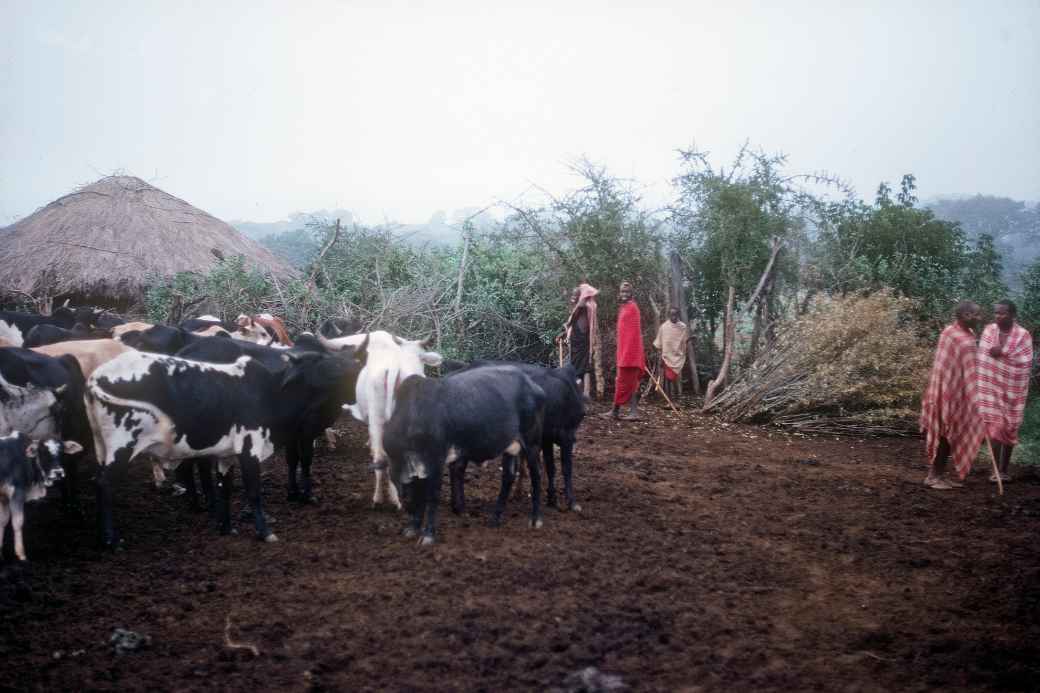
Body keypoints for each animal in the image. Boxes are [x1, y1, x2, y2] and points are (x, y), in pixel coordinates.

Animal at [0, 428, 81, 557]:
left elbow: (2, 522)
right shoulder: (17, 494)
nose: (58, 472)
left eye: (62, 452)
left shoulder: (4, 498)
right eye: (42, 452)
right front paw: (21, 555)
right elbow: (17, 523)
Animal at [85, 337, 370, 541]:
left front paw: (227, 527)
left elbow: (226, 487)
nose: (356, 373)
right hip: (122, 447)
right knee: (104, 484)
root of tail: (94, 379)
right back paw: (111, 538)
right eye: (327, 366)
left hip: (103, 448)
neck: (269, 393)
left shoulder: (227, 454)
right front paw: (265, 530)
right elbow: (255, 489)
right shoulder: (251, 448)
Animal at [382, 364, 544, 541]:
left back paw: (535, 519)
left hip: (531, 443)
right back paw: (495, 519)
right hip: (510, 446)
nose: (406, 505)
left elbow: (433, 496)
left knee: (536, 475)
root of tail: (534, 386)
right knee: (508, 477)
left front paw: (428, 534)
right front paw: (412, 528)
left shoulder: (437, 460)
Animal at [447, 362, 586, 511]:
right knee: (457, 467)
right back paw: (459, 505)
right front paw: (572, 502)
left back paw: (457, 504)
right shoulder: (566, 435)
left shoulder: (546, 438)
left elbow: (551, 468)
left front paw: (552, 499)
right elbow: (566, 468)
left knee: (455, 467)